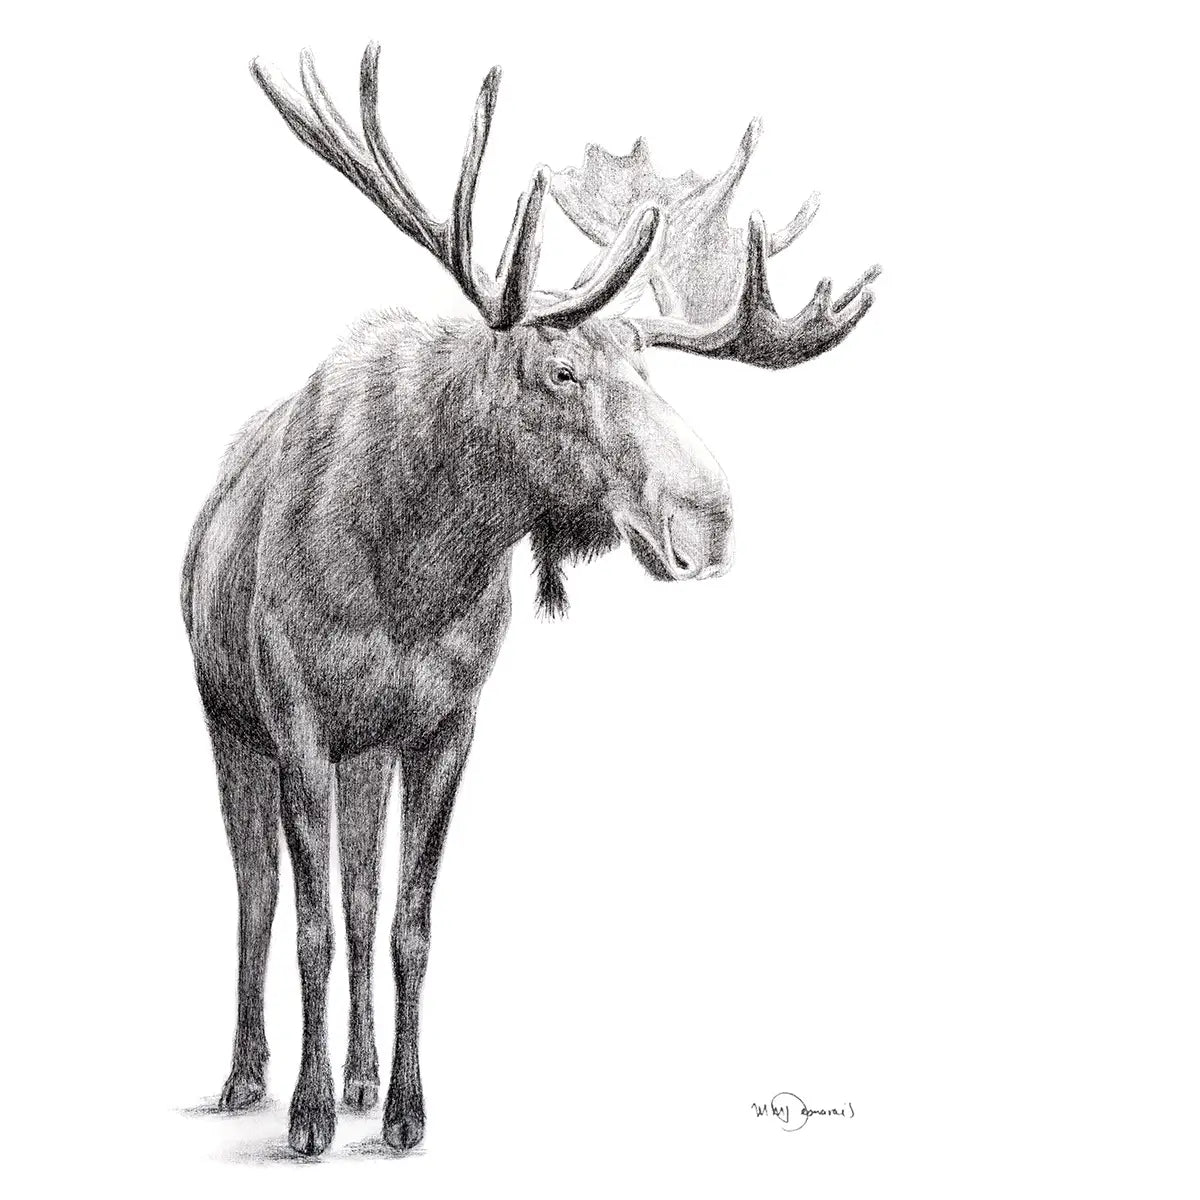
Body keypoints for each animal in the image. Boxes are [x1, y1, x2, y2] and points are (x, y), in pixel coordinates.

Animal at [181, 42, 880, 1157]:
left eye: (645, 361)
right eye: (559, 367)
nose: (709, 520)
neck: (412, 574)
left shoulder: (448, 722)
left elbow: (408, 922)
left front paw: (405, 1111)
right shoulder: (294, 721)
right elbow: (307, 924)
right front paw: (306, 1115)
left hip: (366, 751)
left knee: (360, 889)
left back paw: (361, 1076)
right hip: (227, 718)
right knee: (257, 895)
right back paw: (249, 1078)